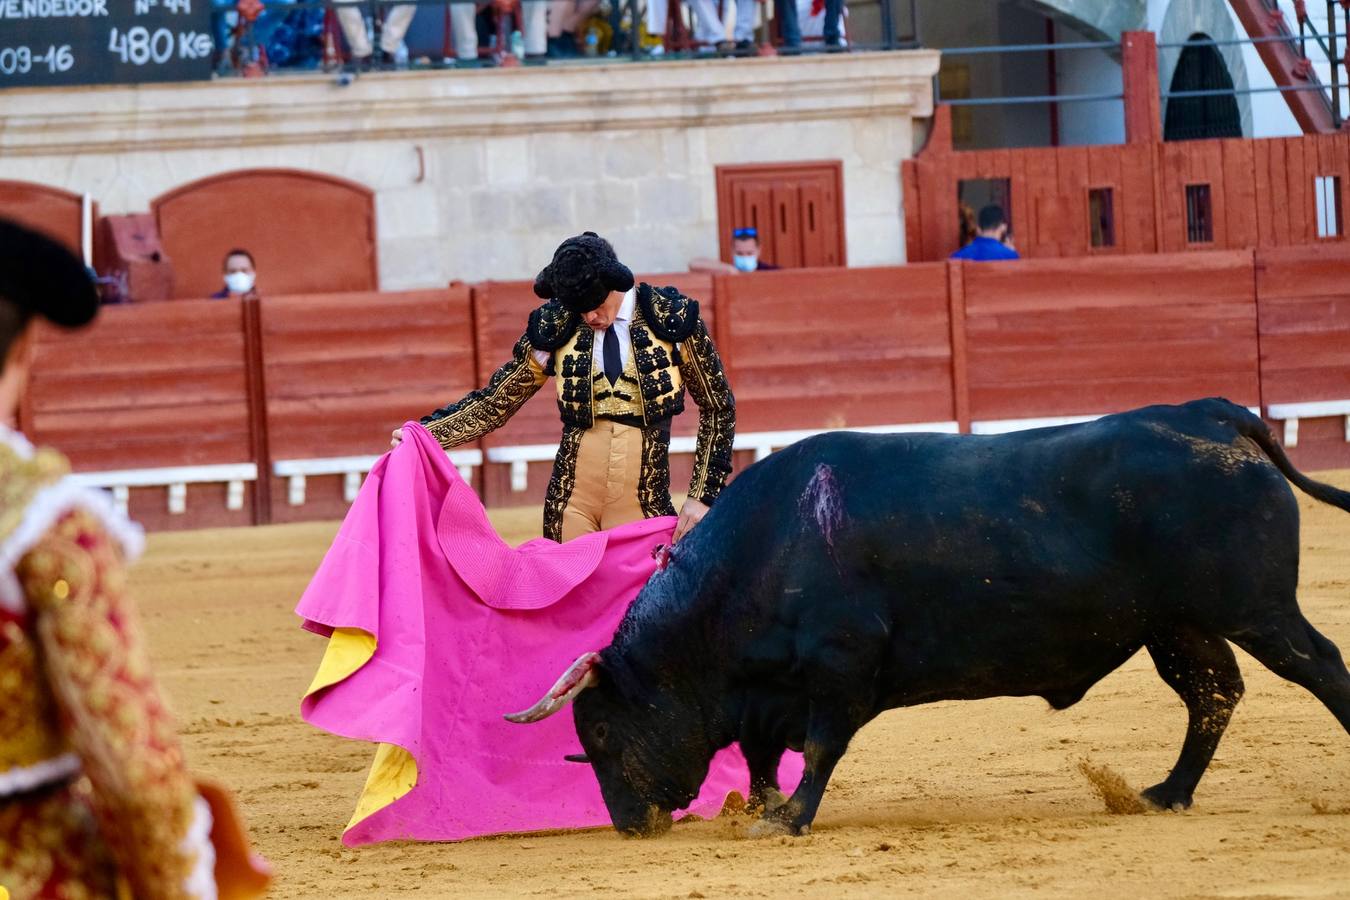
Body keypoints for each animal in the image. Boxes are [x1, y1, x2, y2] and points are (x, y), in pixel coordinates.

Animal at [507, 402, 1350, 836]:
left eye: (603, 731)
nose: (628, 823)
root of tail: (1216, 416)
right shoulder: (773, 691)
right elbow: (760, 753)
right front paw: (768, 806)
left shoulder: (840, 666)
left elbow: (818, 747)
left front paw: (787, 819)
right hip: (1177, 625)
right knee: (1213, 693)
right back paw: (1165, 794)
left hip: (1257, 608)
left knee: (1321, 666)